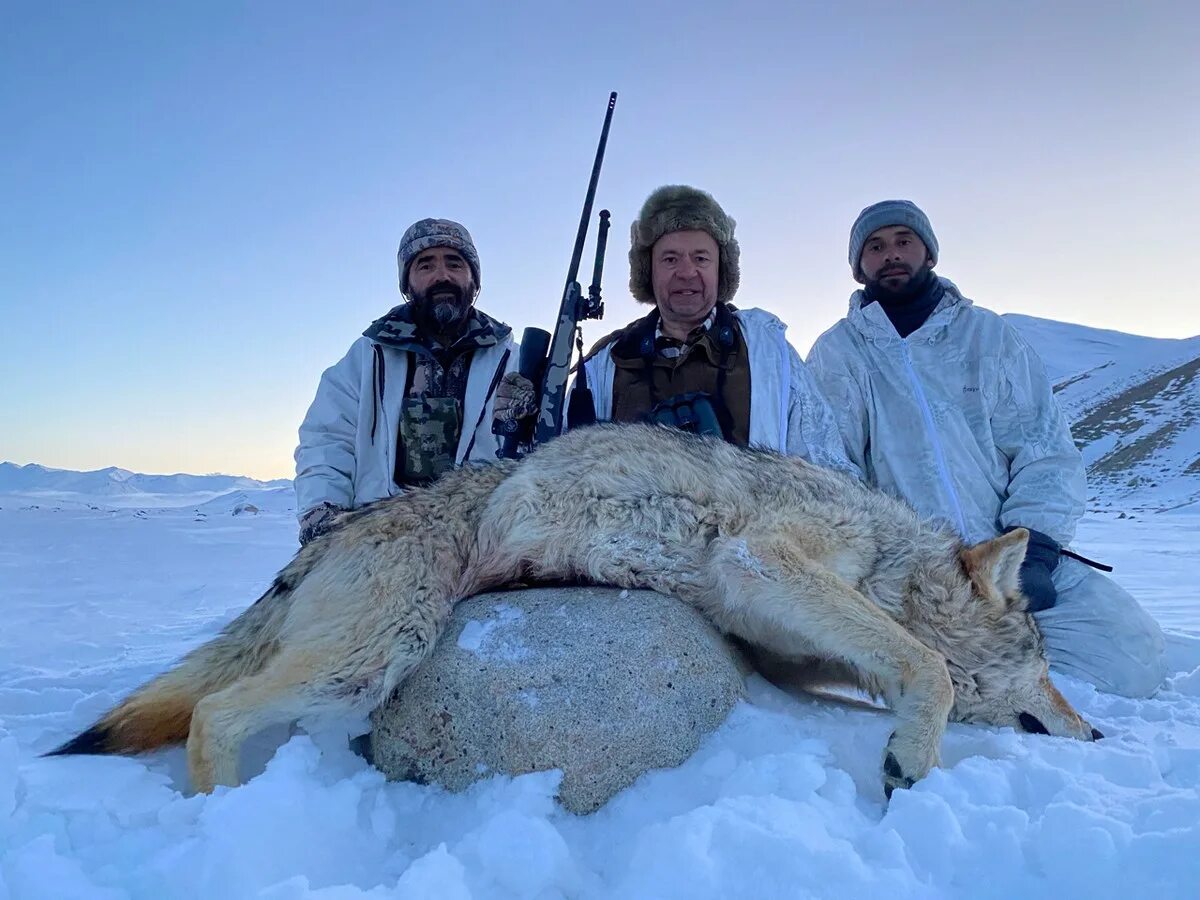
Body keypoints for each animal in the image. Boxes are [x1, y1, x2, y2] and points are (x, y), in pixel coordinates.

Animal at [49, 427, 1099, 801]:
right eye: (1049, 664)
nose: (1097, 734)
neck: (885, 557)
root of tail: (332, 533)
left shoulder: (777, 644)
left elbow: (875, 675)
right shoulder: (766, 561)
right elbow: (927, 665)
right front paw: (910, 758)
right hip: (373, 655)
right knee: (213, 715)